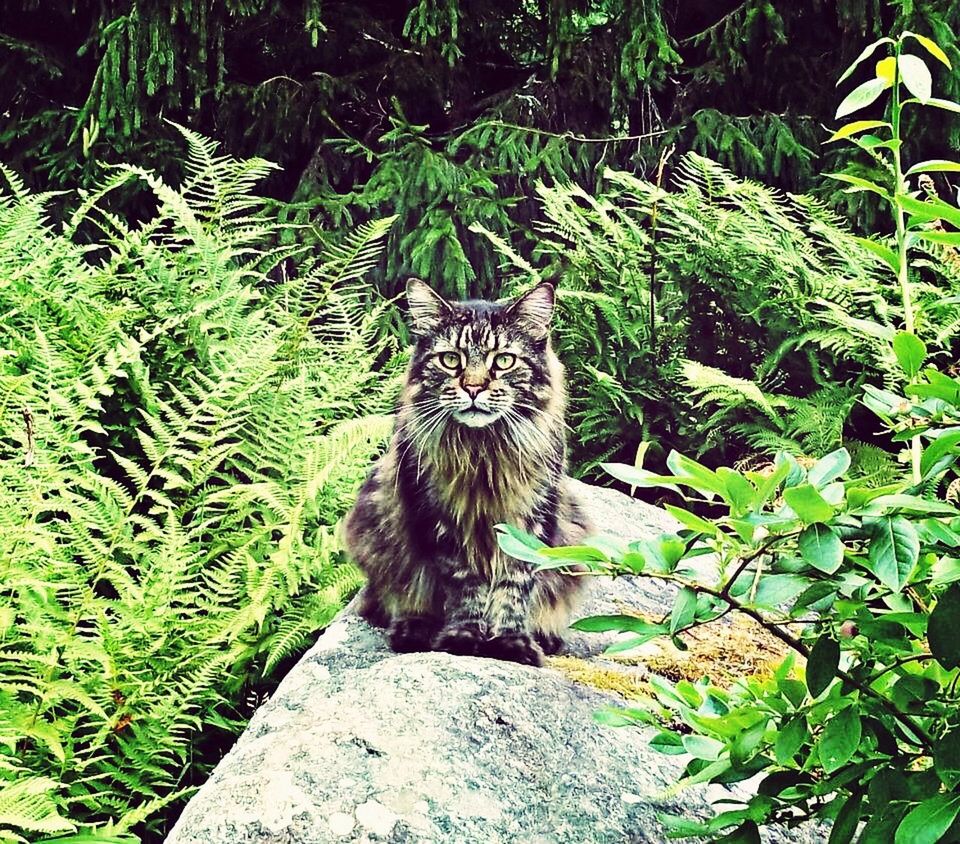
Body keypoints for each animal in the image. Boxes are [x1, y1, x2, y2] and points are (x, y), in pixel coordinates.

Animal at [342, 276, 588, 664]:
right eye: (450, 360)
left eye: (503, 361)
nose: (473, 387)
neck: (483, 452)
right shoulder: (442, 520)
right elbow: (465, 587)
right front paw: (463, 638)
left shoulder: (532, 517)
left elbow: (514, 587)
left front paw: (511, 643)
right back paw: (413, 631)